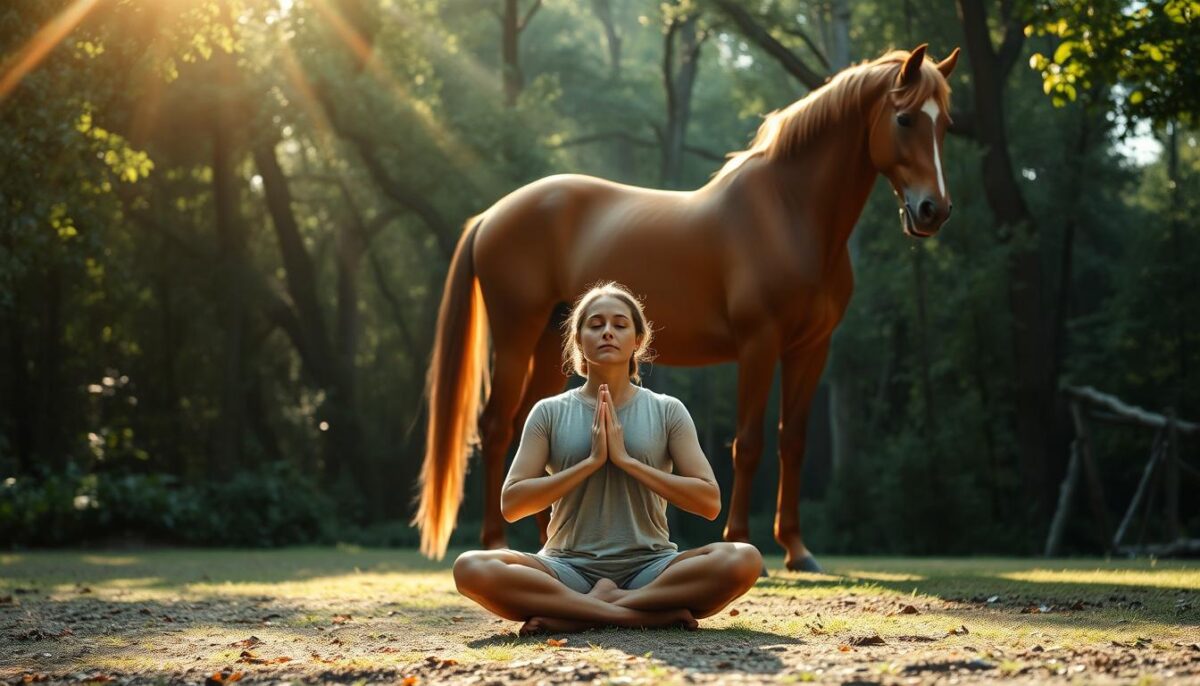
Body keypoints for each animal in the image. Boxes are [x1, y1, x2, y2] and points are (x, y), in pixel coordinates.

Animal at [414, 44, 959, 571]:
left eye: (945, 124)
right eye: (905, 118)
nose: (933, 211)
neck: (788, 213)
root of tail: (491, 215)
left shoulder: (811, 349)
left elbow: (793, 444)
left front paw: (798, 551)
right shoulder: (759, 343)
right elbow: (748, 444)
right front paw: (742, 541)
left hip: (551, 343)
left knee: (530, 427)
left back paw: (548, 538)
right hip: (515, 336)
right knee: (496, 426)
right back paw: (496, 538)